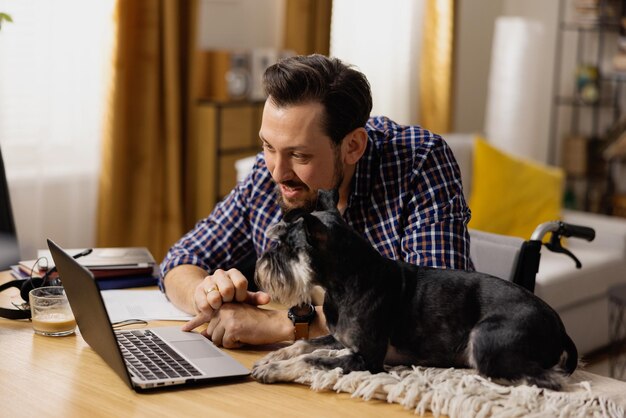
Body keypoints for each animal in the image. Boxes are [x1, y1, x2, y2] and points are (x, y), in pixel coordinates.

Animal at [251, 189, 576, 388]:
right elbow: (304, 344)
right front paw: (274, 357)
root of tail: (561, 329)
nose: (261, 265)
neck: (348, 278)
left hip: (484, 338)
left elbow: (312, 359)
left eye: (287, 247)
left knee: (544, 379)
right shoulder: (340, 338)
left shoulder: (366, 358)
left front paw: (274, 370)